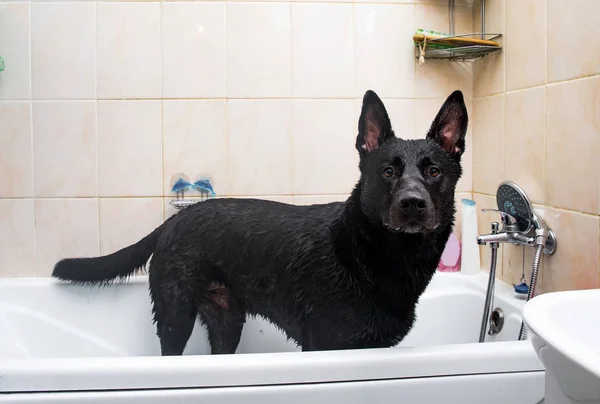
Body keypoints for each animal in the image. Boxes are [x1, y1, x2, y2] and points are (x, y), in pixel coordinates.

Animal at [52, 90, 468, 356]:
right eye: (387, 171)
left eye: (433, 171)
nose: (412, 204)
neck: (372, 256)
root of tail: (175, 221)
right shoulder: (325, 346)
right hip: (175, 316)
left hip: (226, 323)